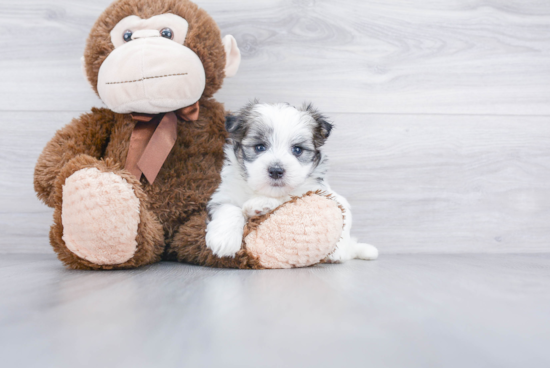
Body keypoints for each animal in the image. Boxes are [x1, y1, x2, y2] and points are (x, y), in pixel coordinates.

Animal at [207, 100, 380, 262]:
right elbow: (229, 208)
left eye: (297, 150)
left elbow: (290, 198)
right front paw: (224, 240)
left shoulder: (313, 192)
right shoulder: (225, 193)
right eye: (260, 147)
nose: (276, 170)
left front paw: (260, 205)